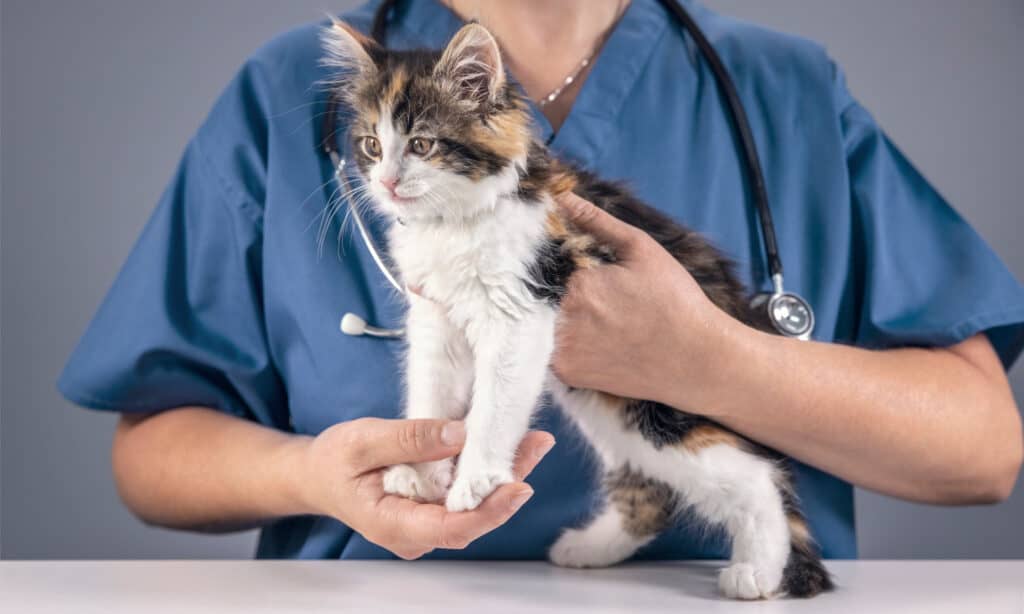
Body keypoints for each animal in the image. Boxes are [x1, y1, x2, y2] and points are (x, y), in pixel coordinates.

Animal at [321, 20, 831, 597]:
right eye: (371, 145)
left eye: (422, 144)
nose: (385, 181)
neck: (455, 222)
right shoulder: (435, 318)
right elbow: (429, 392)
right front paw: (419, 471)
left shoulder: (522, 304)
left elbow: (494, 405)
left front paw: (477, 476)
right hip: (611, 414)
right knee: (653, 490)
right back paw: (591, 548)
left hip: (662, 404)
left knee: (758, 473)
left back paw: (759, 571)